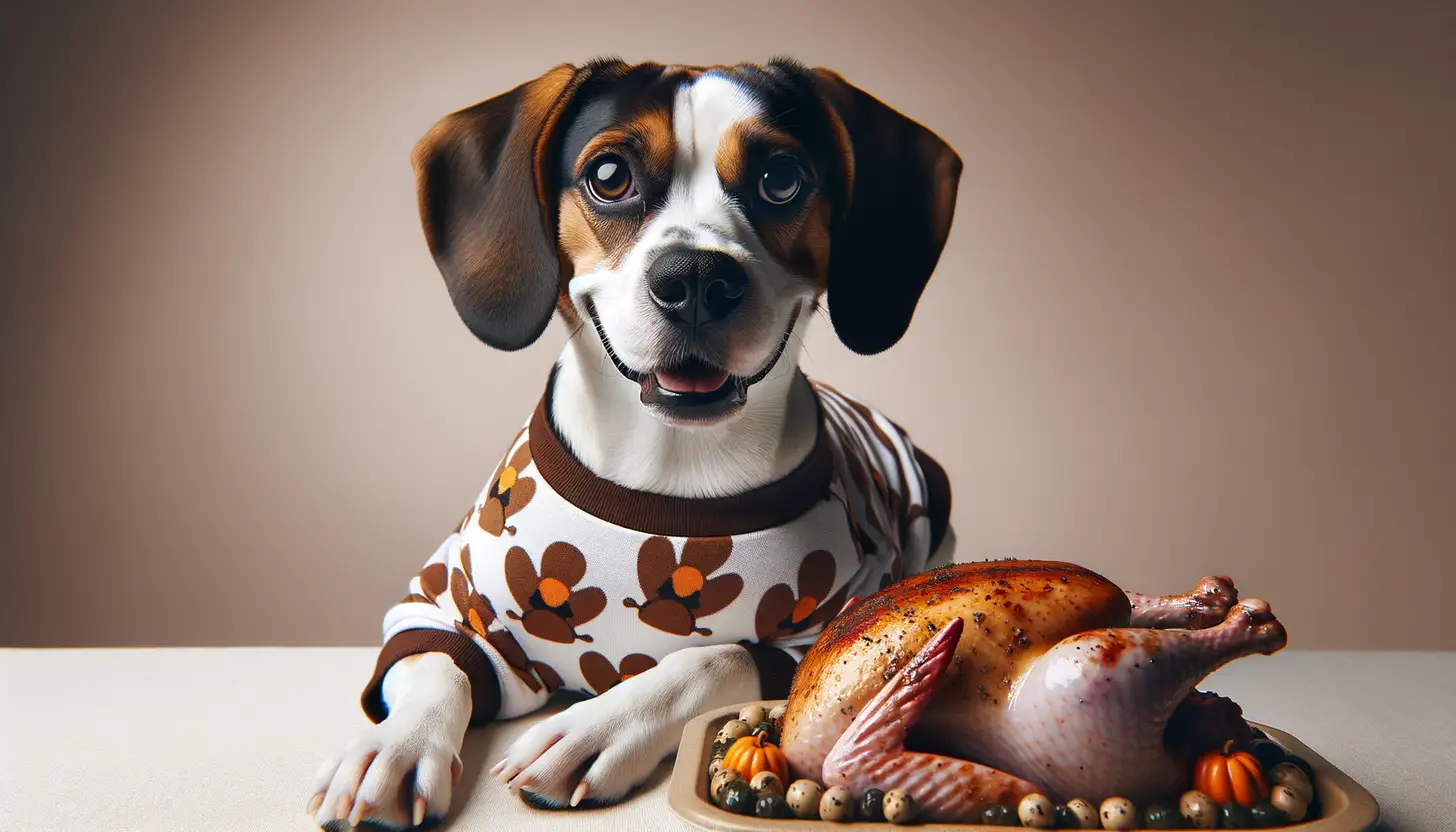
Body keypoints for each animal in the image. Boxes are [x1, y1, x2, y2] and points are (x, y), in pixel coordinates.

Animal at [307, 56, 960, 827]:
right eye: (610, 175)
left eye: (781, 179)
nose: (698, 278)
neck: (673, 467)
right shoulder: (443, 600)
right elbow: (434, 663)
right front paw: (394, 748)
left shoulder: (829, 626)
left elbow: (710, 659)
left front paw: (600, 727)